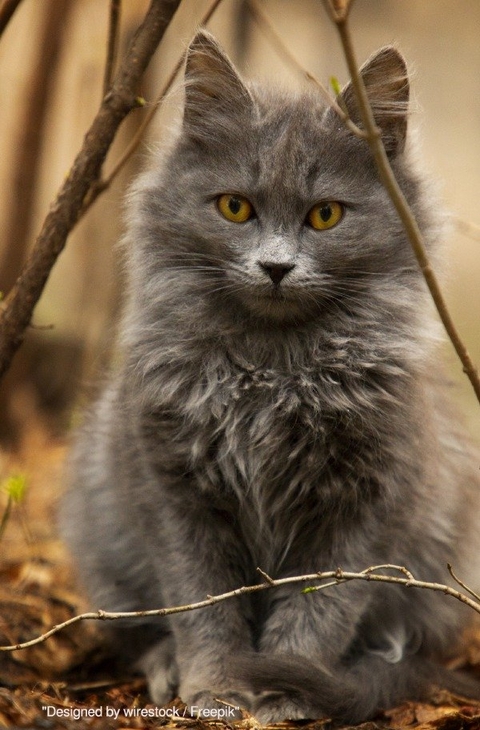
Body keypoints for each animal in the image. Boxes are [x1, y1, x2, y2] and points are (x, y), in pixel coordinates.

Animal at [62, 29, 480, 724]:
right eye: (235, 207)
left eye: (326, 216)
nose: (276, 267)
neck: (272, 374)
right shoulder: (173, 489)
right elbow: (202, 607)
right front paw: (216, 687)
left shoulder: (365, 505)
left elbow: (320, 611)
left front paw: (287, 690)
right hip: (102, 527)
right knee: (137, 631)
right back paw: (165, 668)